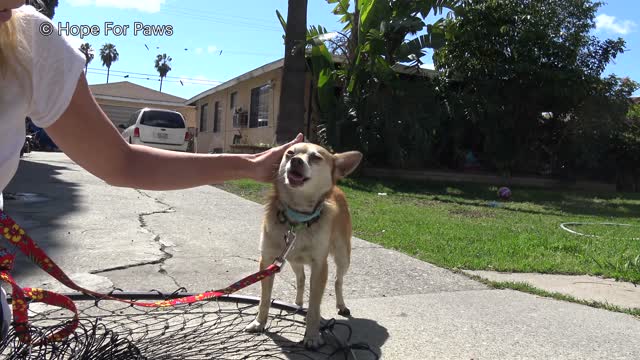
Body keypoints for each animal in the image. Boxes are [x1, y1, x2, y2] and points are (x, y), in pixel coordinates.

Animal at [245, 142, 362, 348]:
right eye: (289, 153)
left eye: (316, 157)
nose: (296, 161)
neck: (297, 218)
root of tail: (337, 188)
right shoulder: (267, 260)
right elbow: (264, 298)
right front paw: (259, 322)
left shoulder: (320, 266)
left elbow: (314, 306)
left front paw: (312, 336)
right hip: (292, 260)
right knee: (301, 279)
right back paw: (298, 303)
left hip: (343, 256)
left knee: (338, 280)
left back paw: (341, 305)